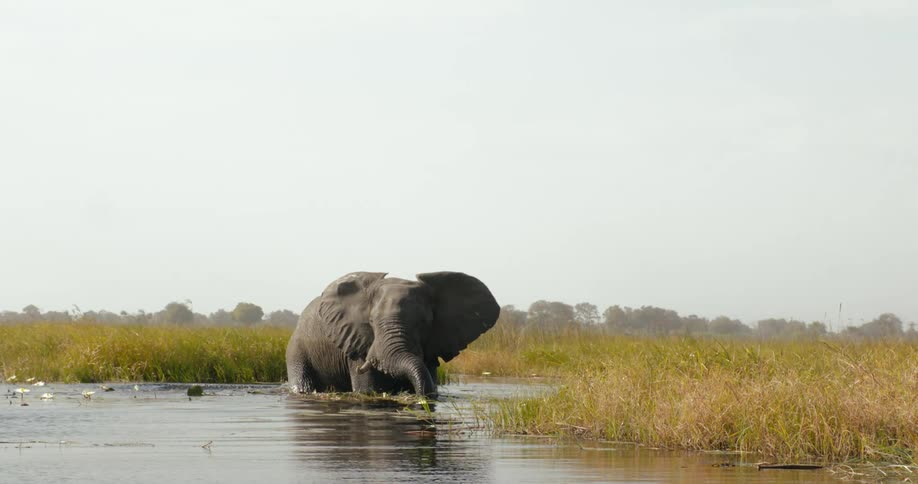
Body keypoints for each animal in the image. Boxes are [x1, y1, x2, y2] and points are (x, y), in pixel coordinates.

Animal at [286, 271, 499, 398]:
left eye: (424, 323)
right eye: (371, 322)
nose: (419, 397)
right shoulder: (357, 343)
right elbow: (369, 391)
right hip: (296, 351)